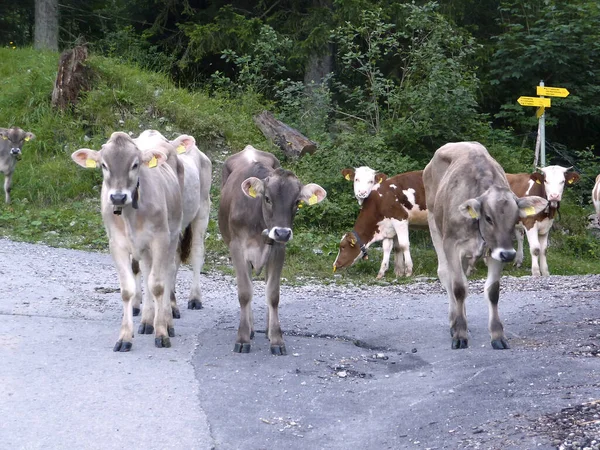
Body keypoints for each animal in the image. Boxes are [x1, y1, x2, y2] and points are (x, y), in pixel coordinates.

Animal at [72, 132, 182, 354]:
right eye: (104, 165)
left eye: (135, 164)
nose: (118, 197)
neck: (130, 214)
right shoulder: (116, 244)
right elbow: (127, 290)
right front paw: (125, 337)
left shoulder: (160, 239)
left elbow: (158, 285)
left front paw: (162, 333)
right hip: (144, 249)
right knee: (147, 274)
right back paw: (147, 321)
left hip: (172, 236)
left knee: (166, 274)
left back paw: (166, 321)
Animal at [218, 144, 326, 356]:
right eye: (267, 198)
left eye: (297, 202)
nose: (282, 232)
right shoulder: (237, 248)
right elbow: (245, 293)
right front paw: (242, 338)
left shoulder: (278, 249)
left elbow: (273, 295)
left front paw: (276, 339)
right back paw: (250, 329)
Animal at [422, 142, 548, 350]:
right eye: (488, 218)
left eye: (516, 218)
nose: (509, 255)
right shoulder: (452, 245)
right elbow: (458, 288)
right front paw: (459, 334)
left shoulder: (496, 251)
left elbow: (492, 291)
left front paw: (497, 335)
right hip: (434, 225)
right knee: (446, 275)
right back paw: (454, 322)